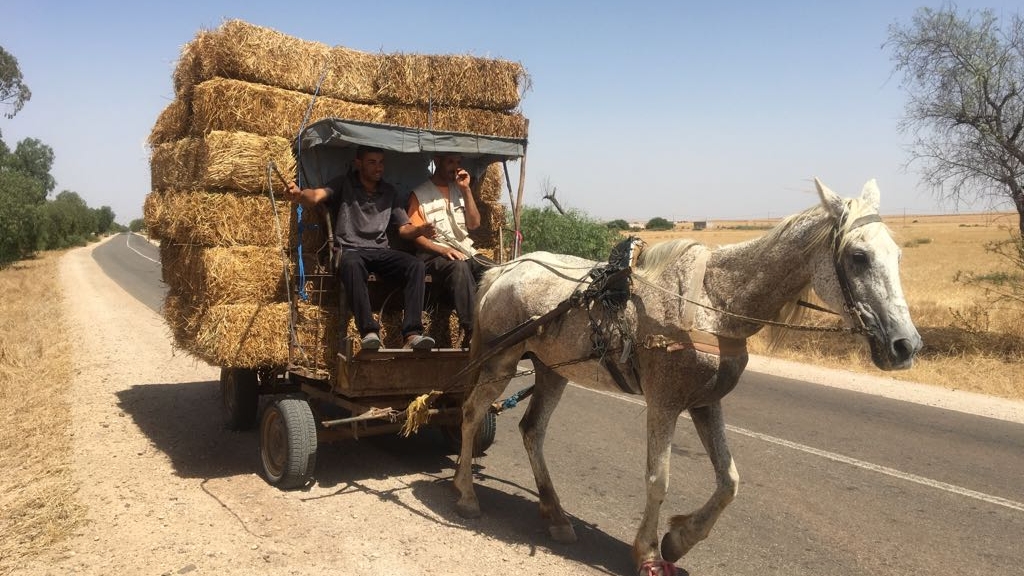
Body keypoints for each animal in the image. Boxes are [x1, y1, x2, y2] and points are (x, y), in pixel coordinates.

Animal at [452, 177, 925, 569]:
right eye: (858, 256)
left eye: (898, 255)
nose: (906, 345)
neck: (715, 302)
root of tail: (504, 269)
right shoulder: (664, 404)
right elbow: (658, 480)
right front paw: (647, 552)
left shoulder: (705, 402)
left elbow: (729, 481)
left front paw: (679, 540)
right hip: (498, 362)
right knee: (471, 413)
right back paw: (466, 494)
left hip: (552, 370)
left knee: (532, 430)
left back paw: (555, 514)